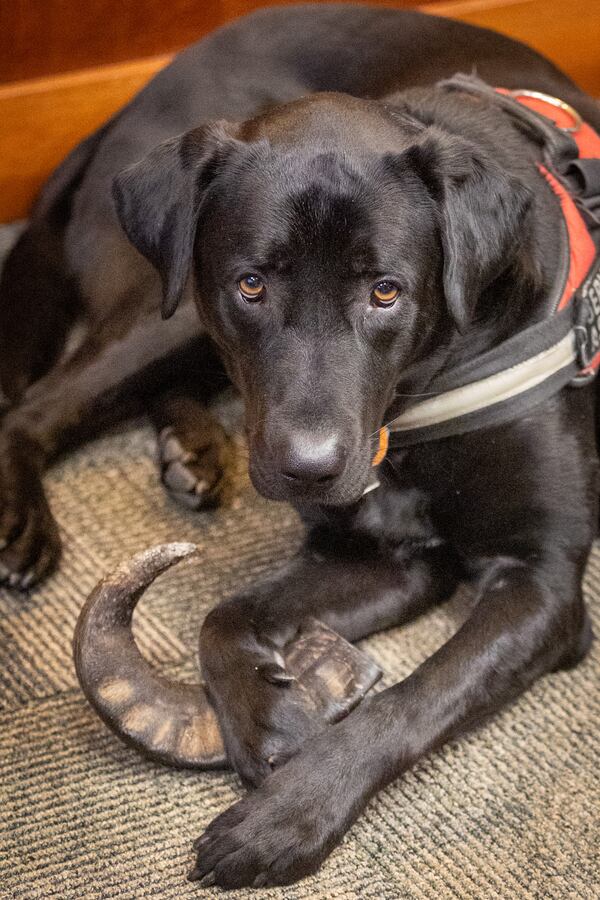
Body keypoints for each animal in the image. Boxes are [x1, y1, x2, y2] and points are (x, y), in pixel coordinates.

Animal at [1, 3, 600, 888]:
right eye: (252, 284)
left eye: (386, 291)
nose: (309, 470)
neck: (417, 394)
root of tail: (146, 86)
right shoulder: (377, 552)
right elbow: (222, 614)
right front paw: (268, 723)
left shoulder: (539, 584)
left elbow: (414, 696)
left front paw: (290, 813)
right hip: (169, 304)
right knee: (36, 406)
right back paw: (31, 517)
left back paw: (194, 448)